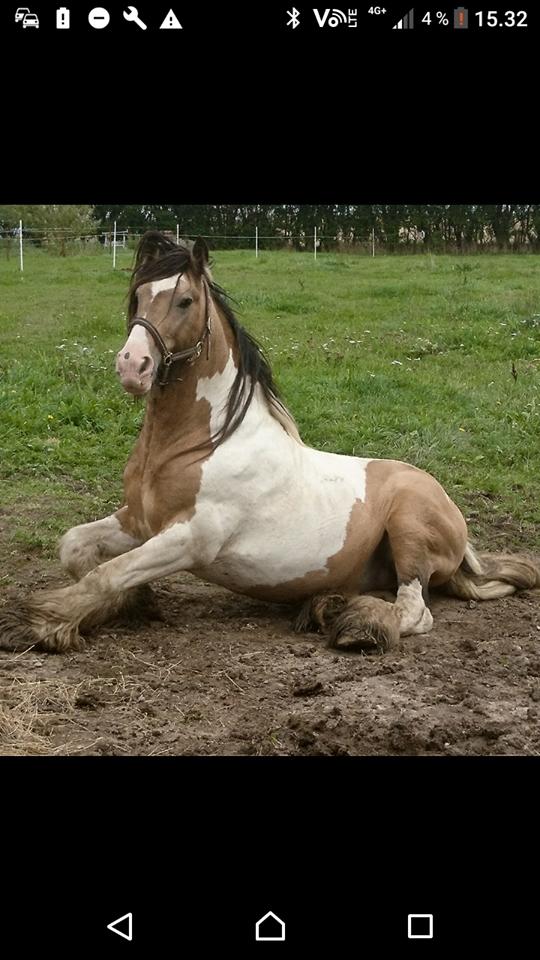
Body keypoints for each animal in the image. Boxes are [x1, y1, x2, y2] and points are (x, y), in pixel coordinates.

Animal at [2, 231, 536, 652]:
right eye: (137, 296)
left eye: (184, 301)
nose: (132, 366)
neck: (200, 444)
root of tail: (453, 514)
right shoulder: (139, 521)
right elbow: (76, 549)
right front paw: (132, 604)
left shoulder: (192, 538)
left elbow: (107, 572)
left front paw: (37, 625)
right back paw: (326, 606)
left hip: (409, 526)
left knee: (414, 610)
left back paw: (355, 625)